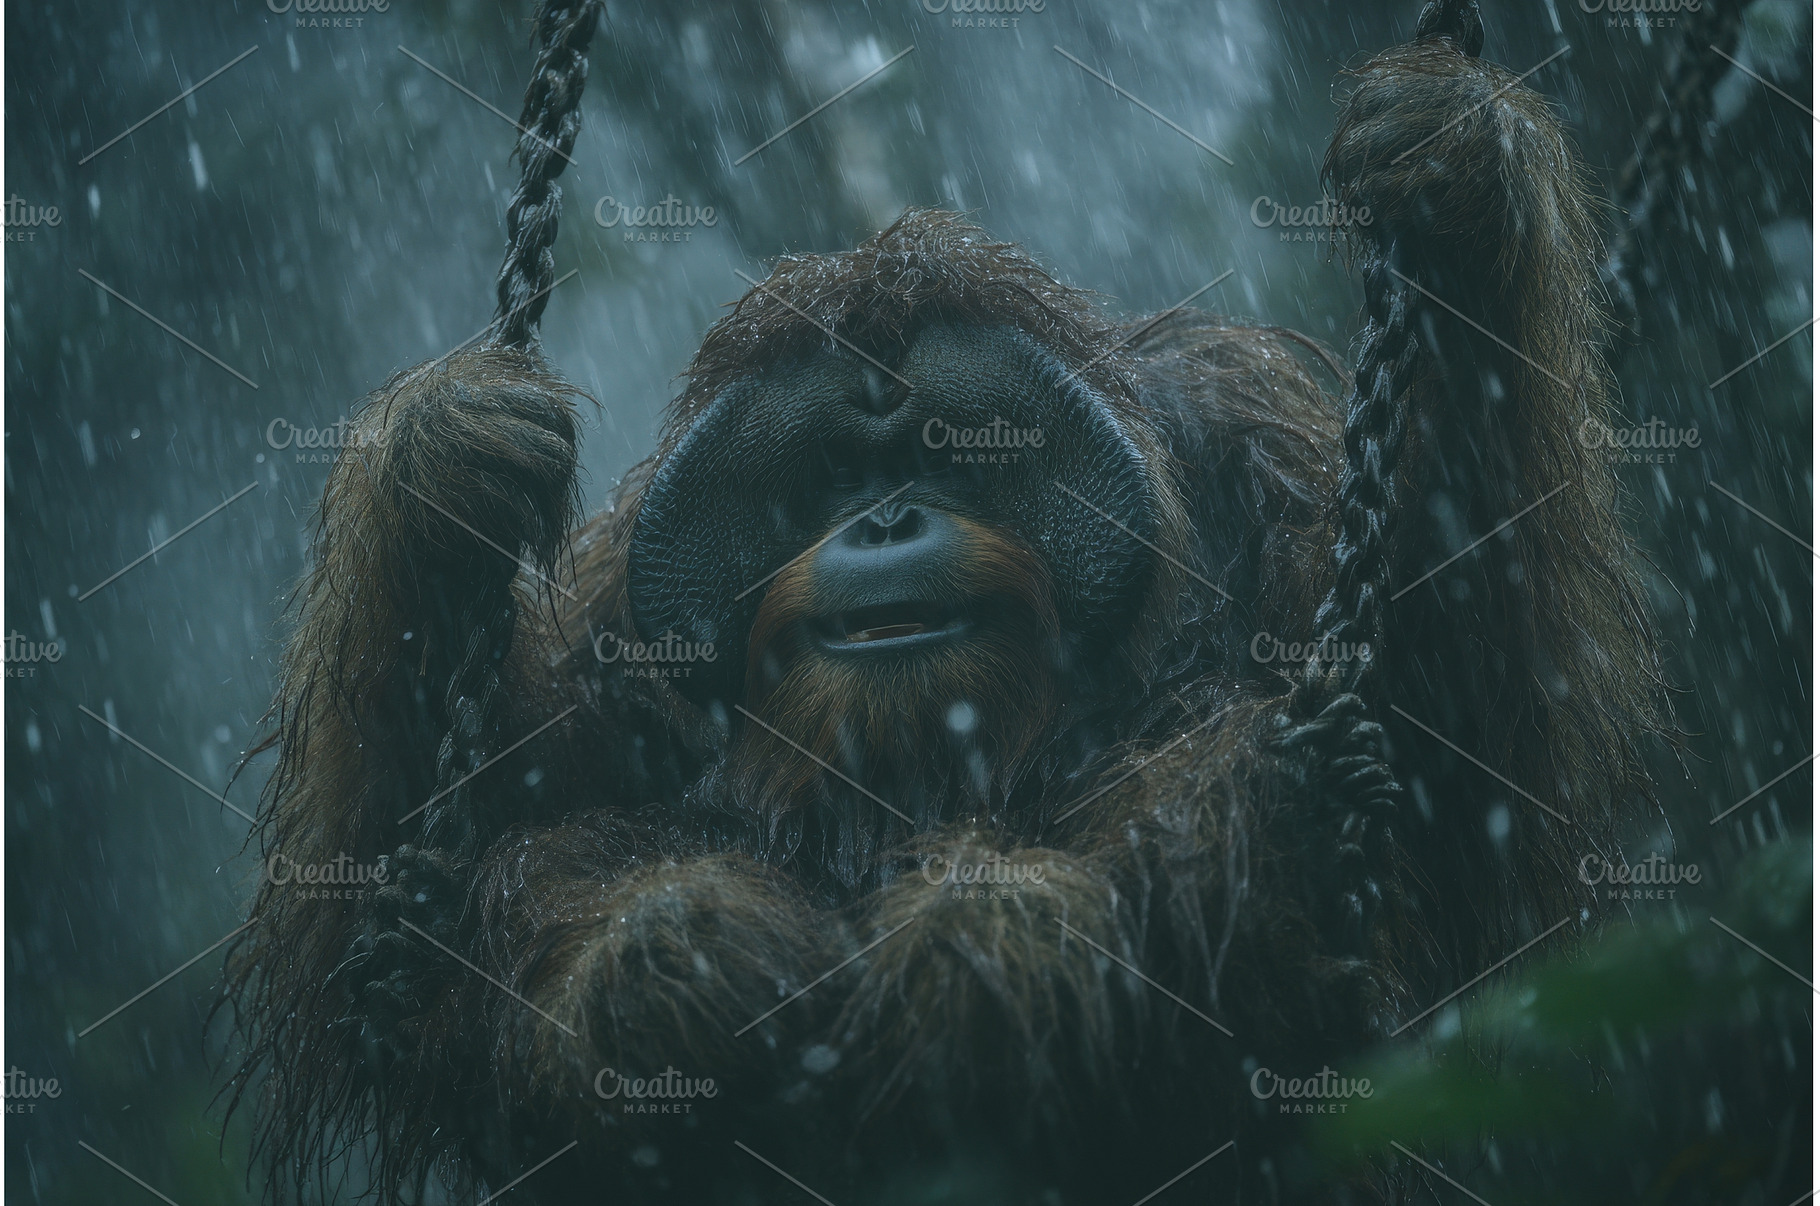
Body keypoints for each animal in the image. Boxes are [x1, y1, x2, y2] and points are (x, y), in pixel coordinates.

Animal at [222, 2, 1666, 1202]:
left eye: (943, 457)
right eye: (833, 479)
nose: (884, 520)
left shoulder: (1262, 444)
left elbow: (1456, 745)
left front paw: (1456, 165)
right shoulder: (610, 615)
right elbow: (396, 911)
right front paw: (447, 457)